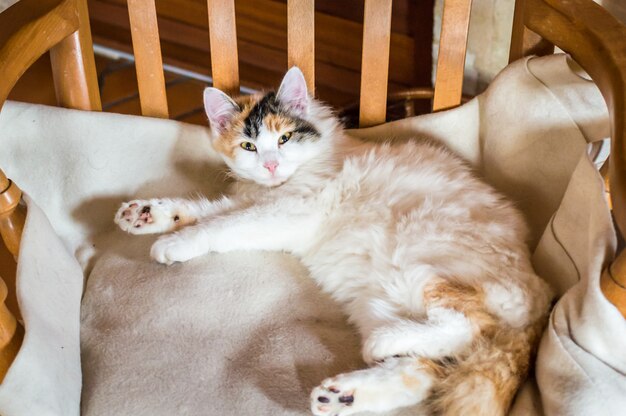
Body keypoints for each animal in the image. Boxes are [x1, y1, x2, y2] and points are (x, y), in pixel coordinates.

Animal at [114, 66, 548, 414]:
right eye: (249, 146)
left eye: (285, 139)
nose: (270, 166)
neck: (282, 183)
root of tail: (541, 295)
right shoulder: (255, 200)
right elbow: (204, 209)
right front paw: (145, 214)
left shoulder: (285, 213)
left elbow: (221, 226)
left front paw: (177, 242)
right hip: (376, 299)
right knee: (424, 370)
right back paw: (344, 394)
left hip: (420, 260)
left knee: (467, 325)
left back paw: (379, 347)